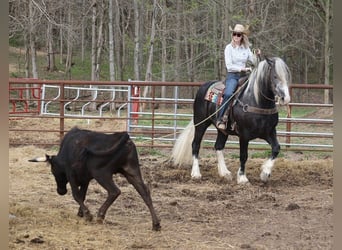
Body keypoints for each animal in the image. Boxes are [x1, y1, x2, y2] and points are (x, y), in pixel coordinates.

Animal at [171, 57, 292, 185]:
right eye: (275, 76)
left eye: (287, 76)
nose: (285, 98)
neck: (256, 101)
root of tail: (204, 86)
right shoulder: (244, 135)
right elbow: (243, 155)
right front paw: (242, 177)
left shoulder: (269, 132)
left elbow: (276, 148)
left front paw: (265, 173)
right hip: (201, 123)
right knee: (195, 145)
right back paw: (196, 173)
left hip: (222, 130)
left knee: (218, 146)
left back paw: (224, 173)